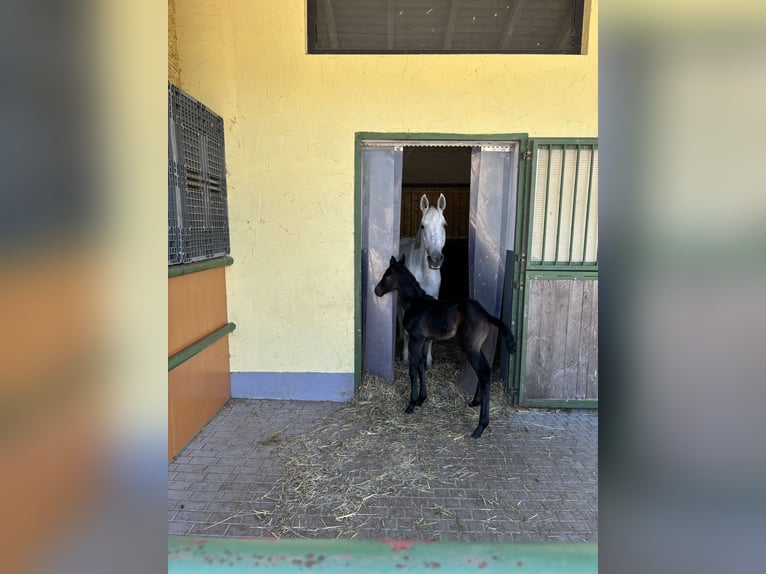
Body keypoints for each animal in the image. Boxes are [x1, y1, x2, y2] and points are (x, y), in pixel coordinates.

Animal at [374, 255, 516, 438]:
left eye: (387, 275)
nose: (376, 290)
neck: (415, 303)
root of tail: (486, 314)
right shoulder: (423, 339)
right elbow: (421, 366)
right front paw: (421, 399)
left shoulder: (416, 338)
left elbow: (413, 369)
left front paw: (411, 404)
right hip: (478, 347)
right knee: (485, 370)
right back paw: (475, 402)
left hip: (470, 347)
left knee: (484, 372)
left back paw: (480, 426)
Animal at [398, 193, 447, 369]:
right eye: (422, 226)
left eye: (444, 225)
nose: (435, 259)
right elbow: (407, 331)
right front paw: (406, 358)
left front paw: (428, 360)